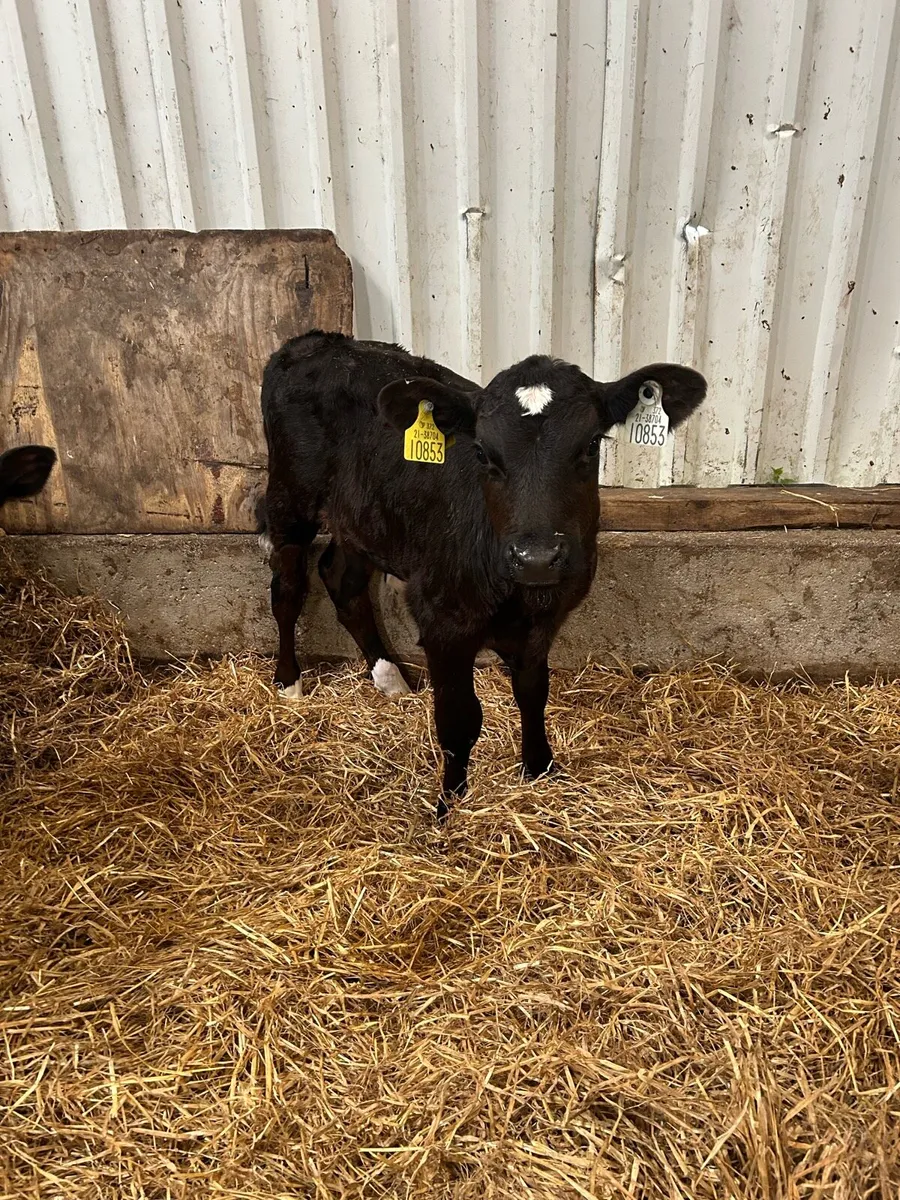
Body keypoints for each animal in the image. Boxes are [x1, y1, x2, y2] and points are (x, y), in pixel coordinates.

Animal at [258, 331, 706, 818]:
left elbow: (532, 691)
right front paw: (449, 804)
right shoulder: (442, 620)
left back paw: (391, 679)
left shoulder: (545, 621)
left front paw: (540, 769)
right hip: (290, 495)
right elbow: (459, 718)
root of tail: (322, 341)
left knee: (342, 579)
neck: (518, 593)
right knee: (288, 586)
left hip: (363, 517)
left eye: (591, 445)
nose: (536, 556)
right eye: (482, 453)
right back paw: (289, 682)